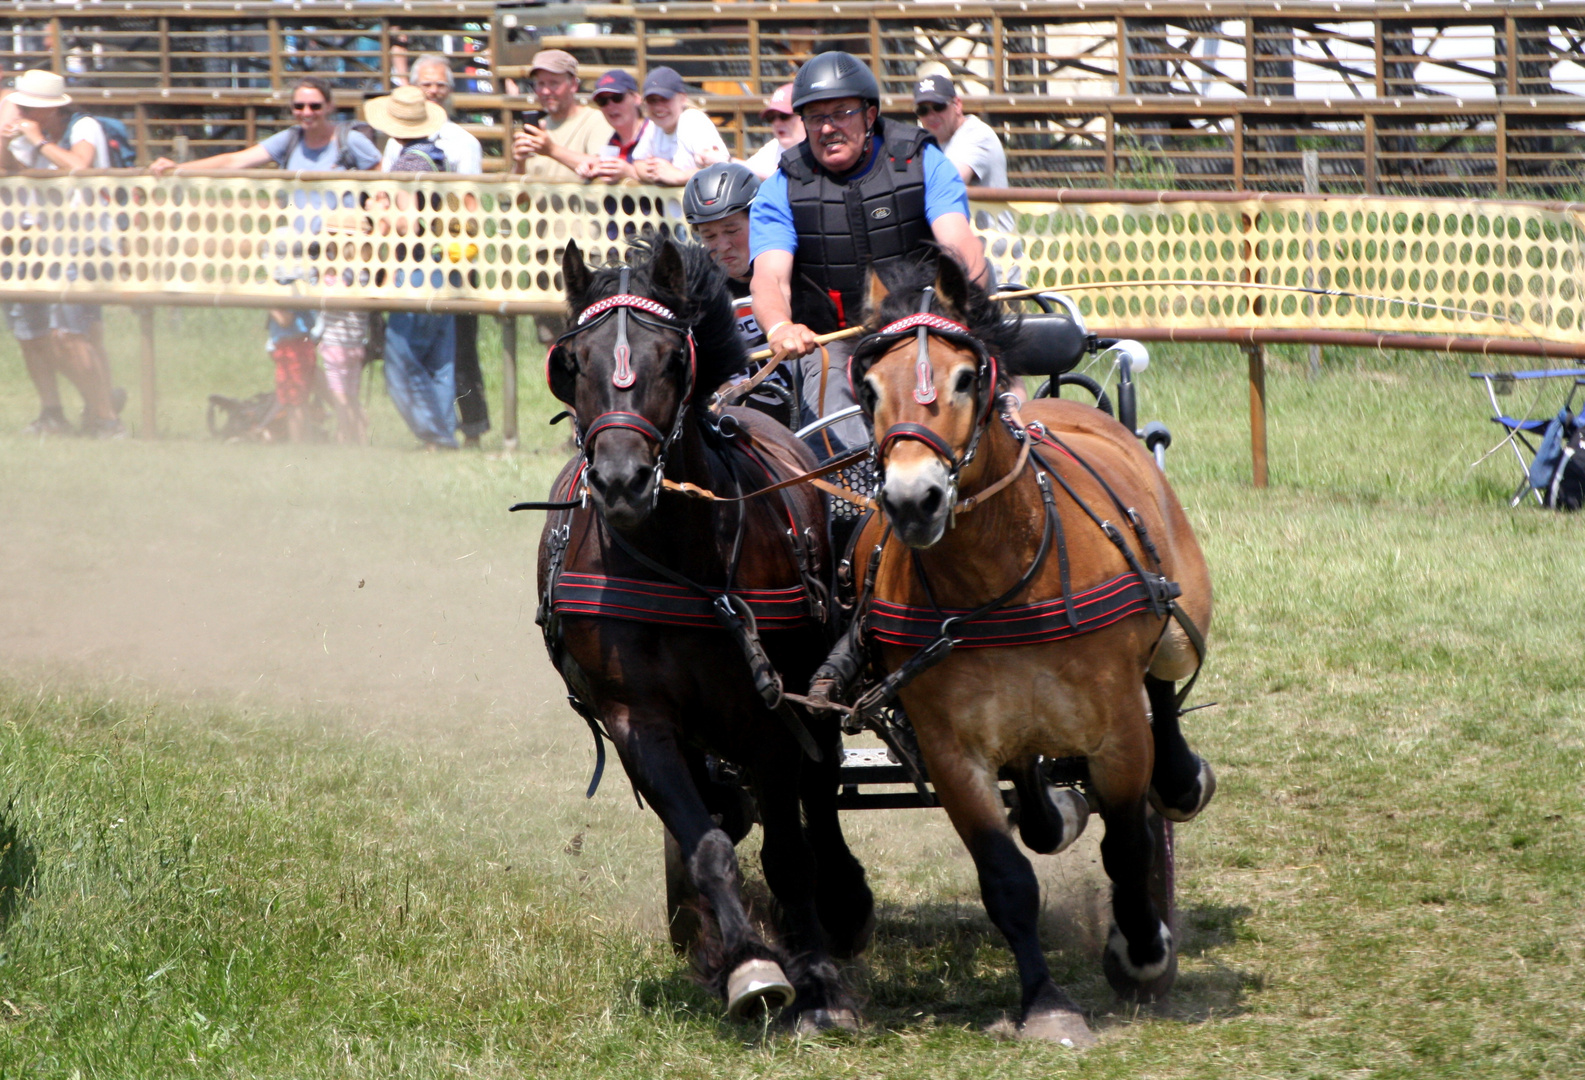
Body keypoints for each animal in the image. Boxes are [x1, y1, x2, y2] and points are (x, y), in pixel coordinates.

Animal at [532, 236, 881, 1027]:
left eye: (669, 358)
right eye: (575, 363)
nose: (622, 481)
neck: (677, 563)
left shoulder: (770, 713)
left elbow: (788, 851)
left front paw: (819, 983)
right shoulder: (638, 720)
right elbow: (706, 844)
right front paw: (747, 964)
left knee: (820, 795)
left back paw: (843, 904)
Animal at [811, 255, 1217, 1046]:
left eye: (966, 378)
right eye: (868, 387)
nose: (912, 500)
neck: (999, 576)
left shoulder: (1118, 733)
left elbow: (1128, 844)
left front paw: (1142, 950)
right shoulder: (950, 750)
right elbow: (1004, 879)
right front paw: (1046, 1002)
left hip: (1178, 626)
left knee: (1163, 690)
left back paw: (1182, 781)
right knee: (1032, 781)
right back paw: (1051, 809)